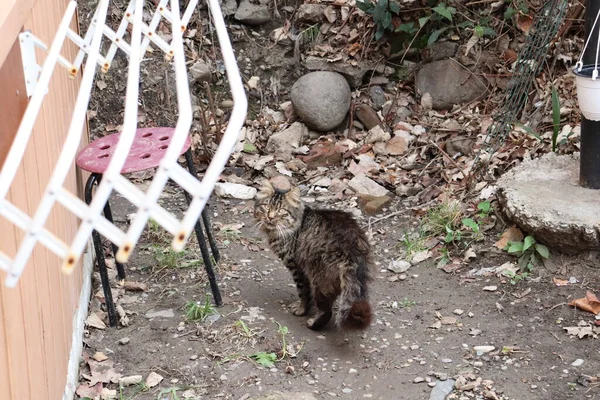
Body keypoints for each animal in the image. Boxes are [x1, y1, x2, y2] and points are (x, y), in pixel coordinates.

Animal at [252, 180, 370, 330]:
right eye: (266, 207)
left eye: (281, 211)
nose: (270, 217)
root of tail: (351, 249)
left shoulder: (296, 267)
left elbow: (303, 292)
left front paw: (301, 309)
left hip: (318, 279)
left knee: (326, 311)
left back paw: (313, 324)